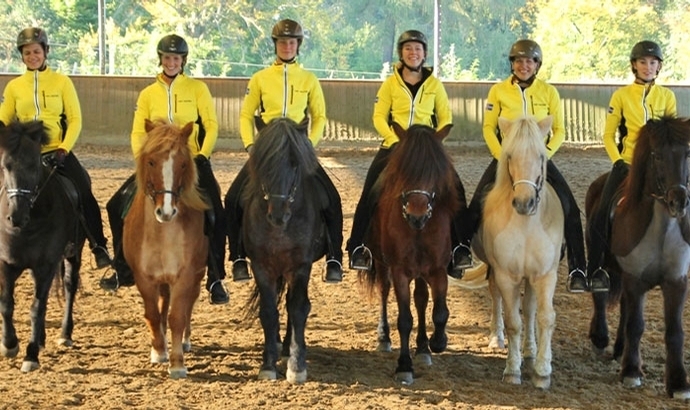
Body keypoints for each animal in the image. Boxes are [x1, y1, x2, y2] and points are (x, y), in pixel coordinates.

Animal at [0, 121, 86, 372]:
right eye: (6, 166)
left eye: (33, 165)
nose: (16, 216)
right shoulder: (6, 263)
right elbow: (7, 304)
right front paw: (9, 345)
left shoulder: (46, 266)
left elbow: (36, 308)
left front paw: (31, 356)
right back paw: (41, 339)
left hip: (74, 253)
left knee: (69, 286)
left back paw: (64, 334)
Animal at [242, 116, 328, 384]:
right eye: (263, 162)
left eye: (294, 163)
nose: (278, 214)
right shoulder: (261, 266)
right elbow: (269, 312)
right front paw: (268, 364)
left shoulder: (300, 266)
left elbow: (298, 308)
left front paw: (297, 365)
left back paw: (289, 346)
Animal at [360, 123, 456, 386]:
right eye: (403, 169)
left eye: (435, 171)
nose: (416, 214)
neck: (419, 230)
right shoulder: (400, 271)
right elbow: (404, 319)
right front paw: (404, 366)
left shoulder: (437, 270)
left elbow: (440, 312)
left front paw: (437, 342)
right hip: (382, 262)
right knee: (384, 290)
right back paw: (384, 338)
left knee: (421, 299)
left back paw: (423, 348)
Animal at [470, 115, 560, 388]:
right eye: (510, 156)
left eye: (541, 156)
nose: (524, 202)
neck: (526, 225)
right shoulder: (506, 275)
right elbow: (513, 322)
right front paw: (512, 370)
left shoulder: (545, 275)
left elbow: (544, 317)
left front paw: (542, 371)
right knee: (497, 299)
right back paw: (496, 338)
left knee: (530, 310)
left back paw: (530, 352)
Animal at [584, 114, 688, 398]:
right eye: (658, 155)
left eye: (688, 153)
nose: (679, 201)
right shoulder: (635, 279)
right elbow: (636, 324)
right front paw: (631, 372)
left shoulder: (676, 282)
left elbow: (674, 331)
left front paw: (679, 384)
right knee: (600, 298)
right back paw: (601, 339)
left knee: (623, 308)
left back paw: (620, 349)